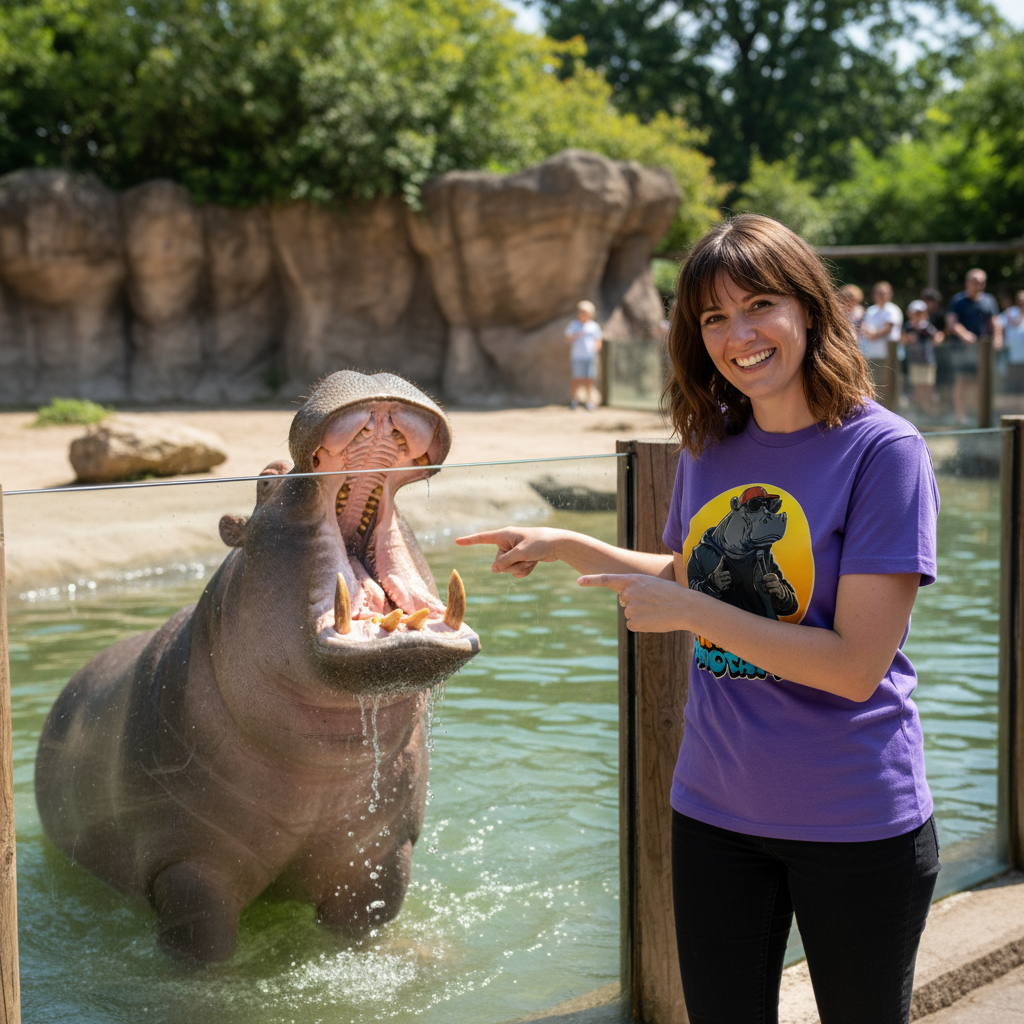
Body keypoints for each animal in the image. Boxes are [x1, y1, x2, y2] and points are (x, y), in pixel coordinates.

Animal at [35, 371, 480, 962]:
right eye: (265, 480)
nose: (367, 371)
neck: (321, 762)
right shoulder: (188, 869)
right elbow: (202, 950)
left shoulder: (380, 855)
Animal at [686, 485, 799, 620]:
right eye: (753, 505)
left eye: (771, 507)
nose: (777, 518)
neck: (740, 554)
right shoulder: (696, 556)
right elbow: (695, 583)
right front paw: (718, 579)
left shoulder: (770, 558)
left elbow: (786, 589)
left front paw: (774, 583)